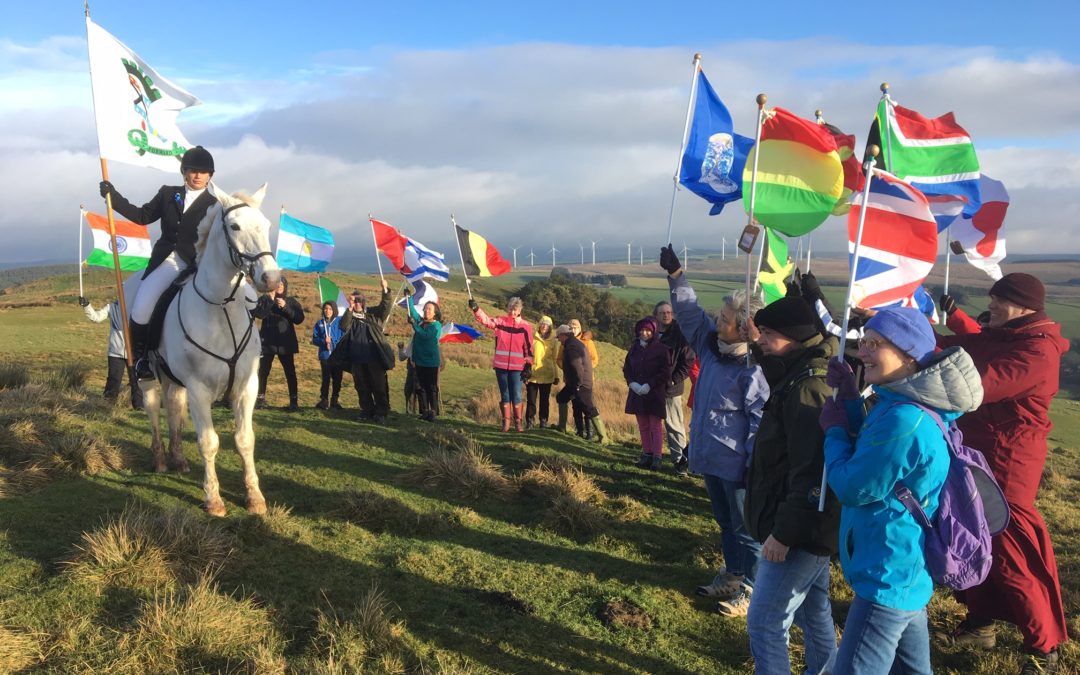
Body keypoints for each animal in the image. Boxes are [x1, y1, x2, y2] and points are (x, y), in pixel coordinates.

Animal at [139, 184, 280, 516]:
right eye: (235, 226)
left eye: (267, 225)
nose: (271, 279)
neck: (222, 308)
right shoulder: (199, 390)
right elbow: (208, 442)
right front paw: (213, 499)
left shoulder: (247, 387)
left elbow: (245, 439)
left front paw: (254, 496)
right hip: (148, 376)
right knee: (153, 409)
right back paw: (161, 459)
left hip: (174, 380)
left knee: (173, 407)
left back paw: (178, 459)